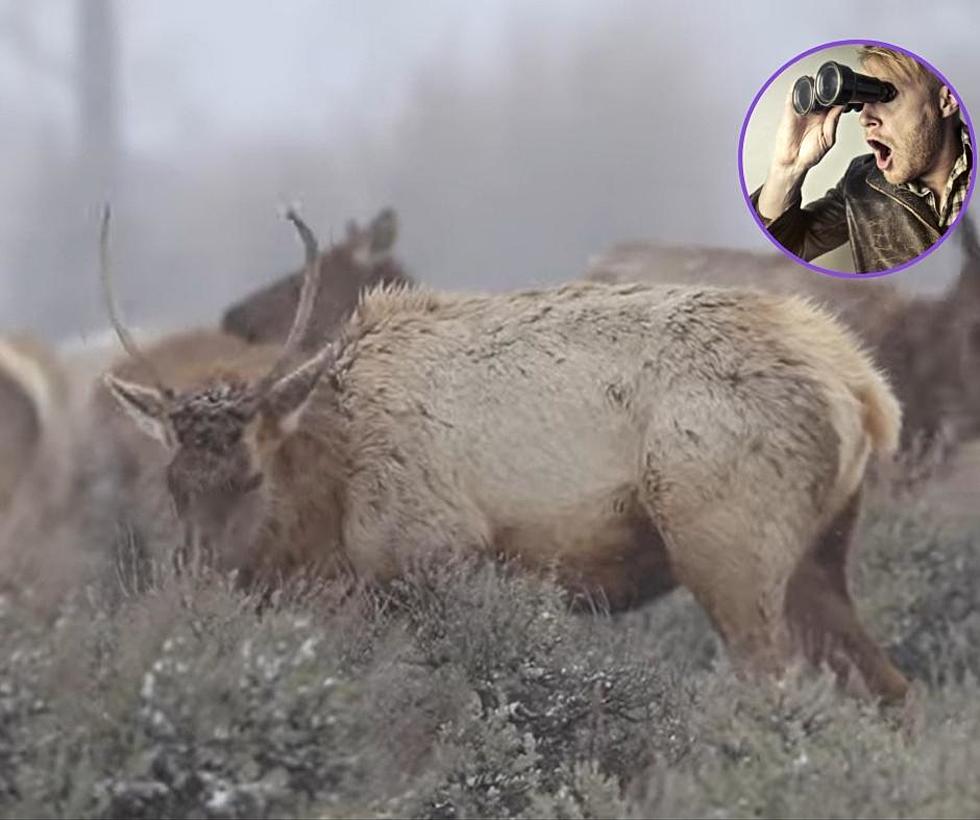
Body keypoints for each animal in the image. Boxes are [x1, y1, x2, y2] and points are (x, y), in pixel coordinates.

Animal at [101, 208, 912, 700]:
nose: (200, 582)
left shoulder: (432, 555)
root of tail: (866, 390)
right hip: (819, 552)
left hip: (728, 543)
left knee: (774, 681)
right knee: (890, 689)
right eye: (173, 482)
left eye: (249, 474)